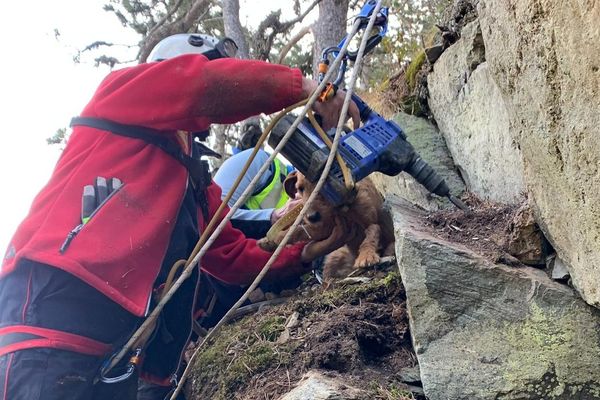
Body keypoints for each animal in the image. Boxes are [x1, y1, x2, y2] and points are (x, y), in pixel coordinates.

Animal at [262, 171, 394, 284]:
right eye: (300, 188)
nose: (312, 216)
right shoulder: (325, 225)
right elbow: (301, 231)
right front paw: (272, 240)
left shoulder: (370, 222)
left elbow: (371, 235)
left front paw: (366, 256)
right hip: (334, 257)